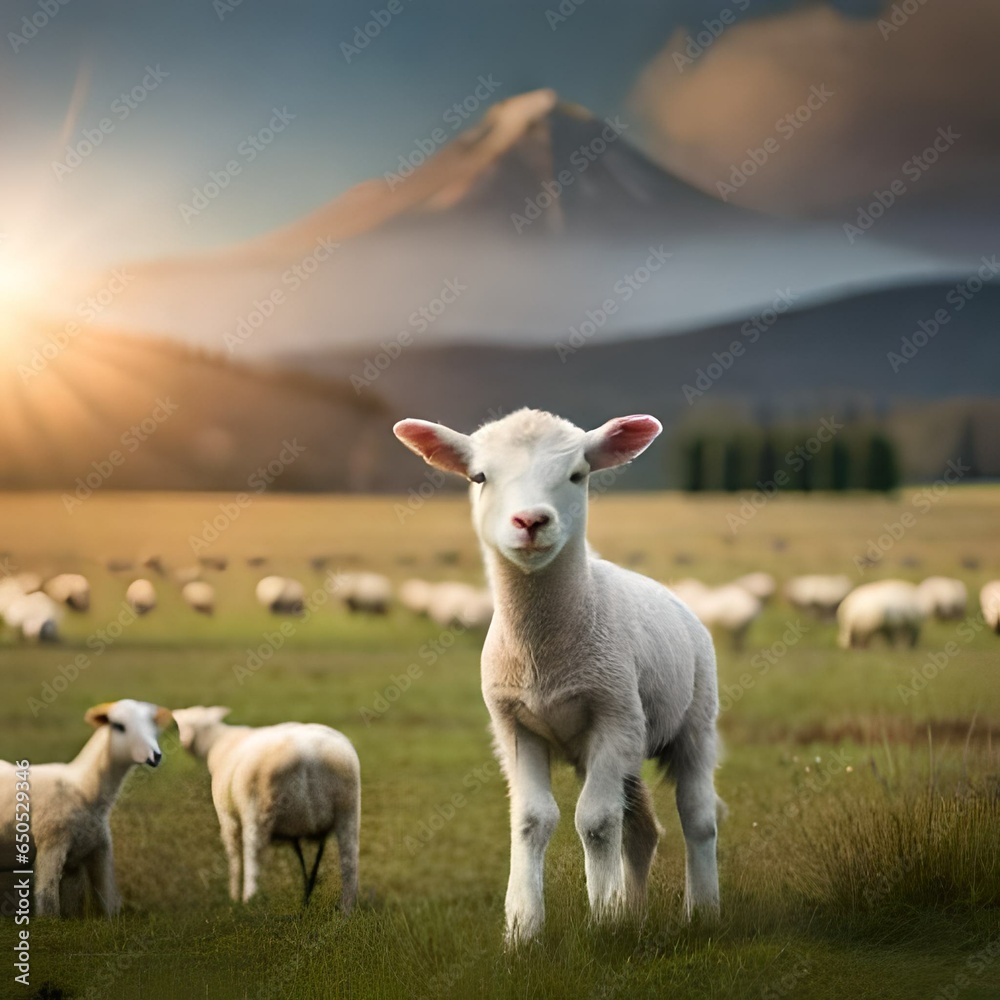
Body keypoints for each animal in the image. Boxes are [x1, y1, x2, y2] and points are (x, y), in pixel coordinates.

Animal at [0, 700, 170, 916]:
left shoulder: (94, 851)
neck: (84, 788)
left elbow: (105, 899)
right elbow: (48, 902)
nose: (155, 756)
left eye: (154, 725)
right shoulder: (50, 845)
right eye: (118, 726)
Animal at [171, 707, 360, 910]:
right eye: (181, 724)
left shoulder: (228, 818)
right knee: (349, 865)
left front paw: (233, 897)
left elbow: (234, 857)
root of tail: (307, 753)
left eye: (198, 725)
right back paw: (346, 908)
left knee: (252, 860)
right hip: (348, 811)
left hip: (257, 812)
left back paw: (249, 902)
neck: (219, 740)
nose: (185, 741)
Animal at [395, 408, 721, 945]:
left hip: (694, 721)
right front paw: (523, 928)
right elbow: (533, 820)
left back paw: (702, 911)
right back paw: (637, 912)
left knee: (697, 817)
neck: (542, 657)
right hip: (622, 745)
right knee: (642, 830)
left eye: (578, 474)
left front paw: (604, 921)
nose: (531, 521)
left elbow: (595, 821)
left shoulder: (614, 715)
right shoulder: (513, 724)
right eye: (479, 477)